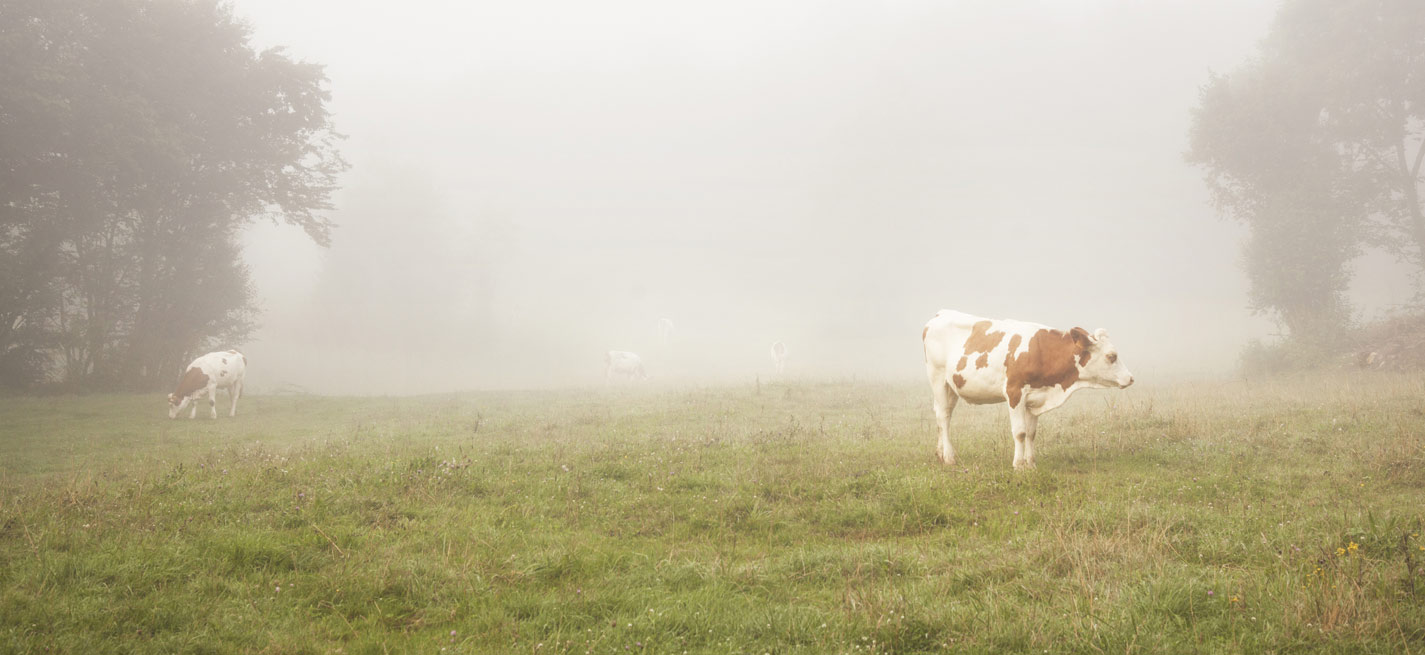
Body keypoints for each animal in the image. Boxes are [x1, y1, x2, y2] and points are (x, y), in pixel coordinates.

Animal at [923, 308, 1134, 467]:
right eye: (1111, 356)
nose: (1131, 378)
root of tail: (939, 314)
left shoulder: (1036, 398)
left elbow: (1031, 433)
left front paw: (1031, 464)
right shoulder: (1014, 392)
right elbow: (1020, 432)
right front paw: (1018, 464)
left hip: (951, 386)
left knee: (943, 414)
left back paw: (940, 453)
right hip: (937, 377)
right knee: (943, 416)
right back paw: (949, 457)